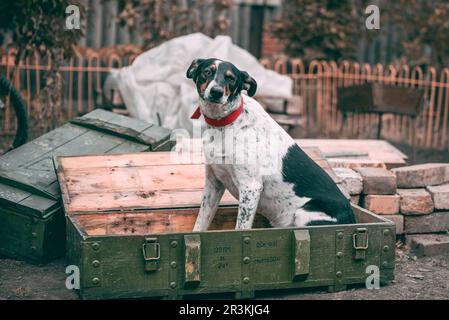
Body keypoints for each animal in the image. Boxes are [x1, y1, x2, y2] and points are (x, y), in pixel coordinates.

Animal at [186, 58, 354, 230]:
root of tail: (352, 219)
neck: (223, 124)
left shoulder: (250, 187)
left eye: (231, 78)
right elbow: (200, 222)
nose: (217, 91)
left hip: (303, 214)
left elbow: (240, 228)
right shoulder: (214, 182)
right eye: (207, 72)